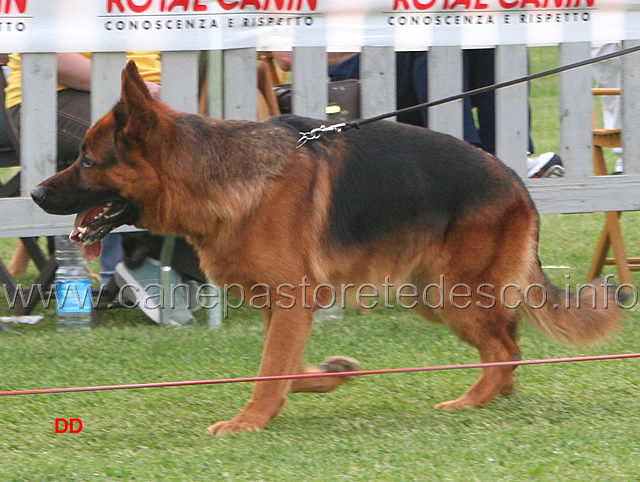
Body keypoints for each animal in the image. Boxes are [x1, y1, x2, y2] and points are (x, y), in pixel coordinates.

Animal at [32, 62, 624, 434]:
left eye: (87, 160)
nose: (35, 193)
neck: (217, 175)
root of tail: (518, 183)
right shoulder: (280, 308)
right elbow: (287, 367)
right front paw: (331, 375)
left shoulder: (294, 301)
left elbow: (271, 371)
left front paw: (248, 422)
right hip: (432, 295)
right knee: (509, 341)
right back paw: (494, 393)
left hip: (450, 294)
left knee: (506, 349)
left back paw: (469, 400)